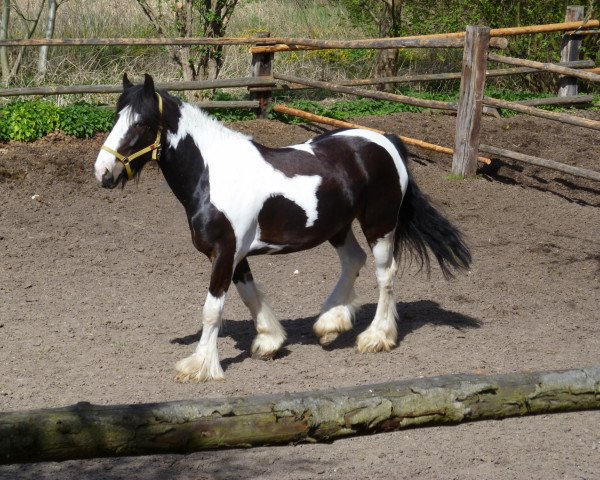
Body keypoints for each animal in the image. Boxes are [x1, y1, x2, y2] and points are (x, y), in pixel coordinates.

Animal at [94, 74, 472, 382]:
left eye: (141, 123)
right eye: (115, 118)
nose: (103, 172)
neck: (214, 175)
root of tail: (388, 141)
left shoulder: (225, 251)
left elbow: (212, 310)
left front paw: (200, 366)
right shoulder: (234, 254)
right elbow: (249, 294)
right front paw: (269, 341)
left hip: (379, 224)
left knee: (385, 275)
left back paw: (376, 336)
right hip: (336, 227)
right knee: (353, 260)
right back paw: (330, 322)